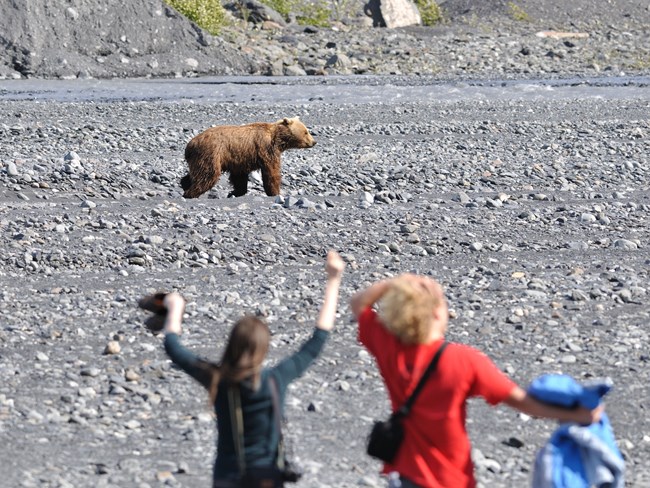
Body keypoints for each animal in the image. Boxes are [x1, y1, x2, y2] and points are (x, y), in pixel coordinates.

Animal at [180, 117, 316, 198]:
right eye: (306, 132)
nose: (314, 142)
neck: (277, 139)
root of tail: (190, 144)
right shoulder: (266, 149)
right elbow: (271, 172)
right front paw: (275, 192)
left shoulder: (240, 158)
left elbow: (239, 177)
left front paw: (236, 192)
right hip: (210, 153)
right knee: (208, 173)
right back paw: (191, 193)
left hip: (199, 157)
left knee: (198, 173)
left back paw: (185, 184)